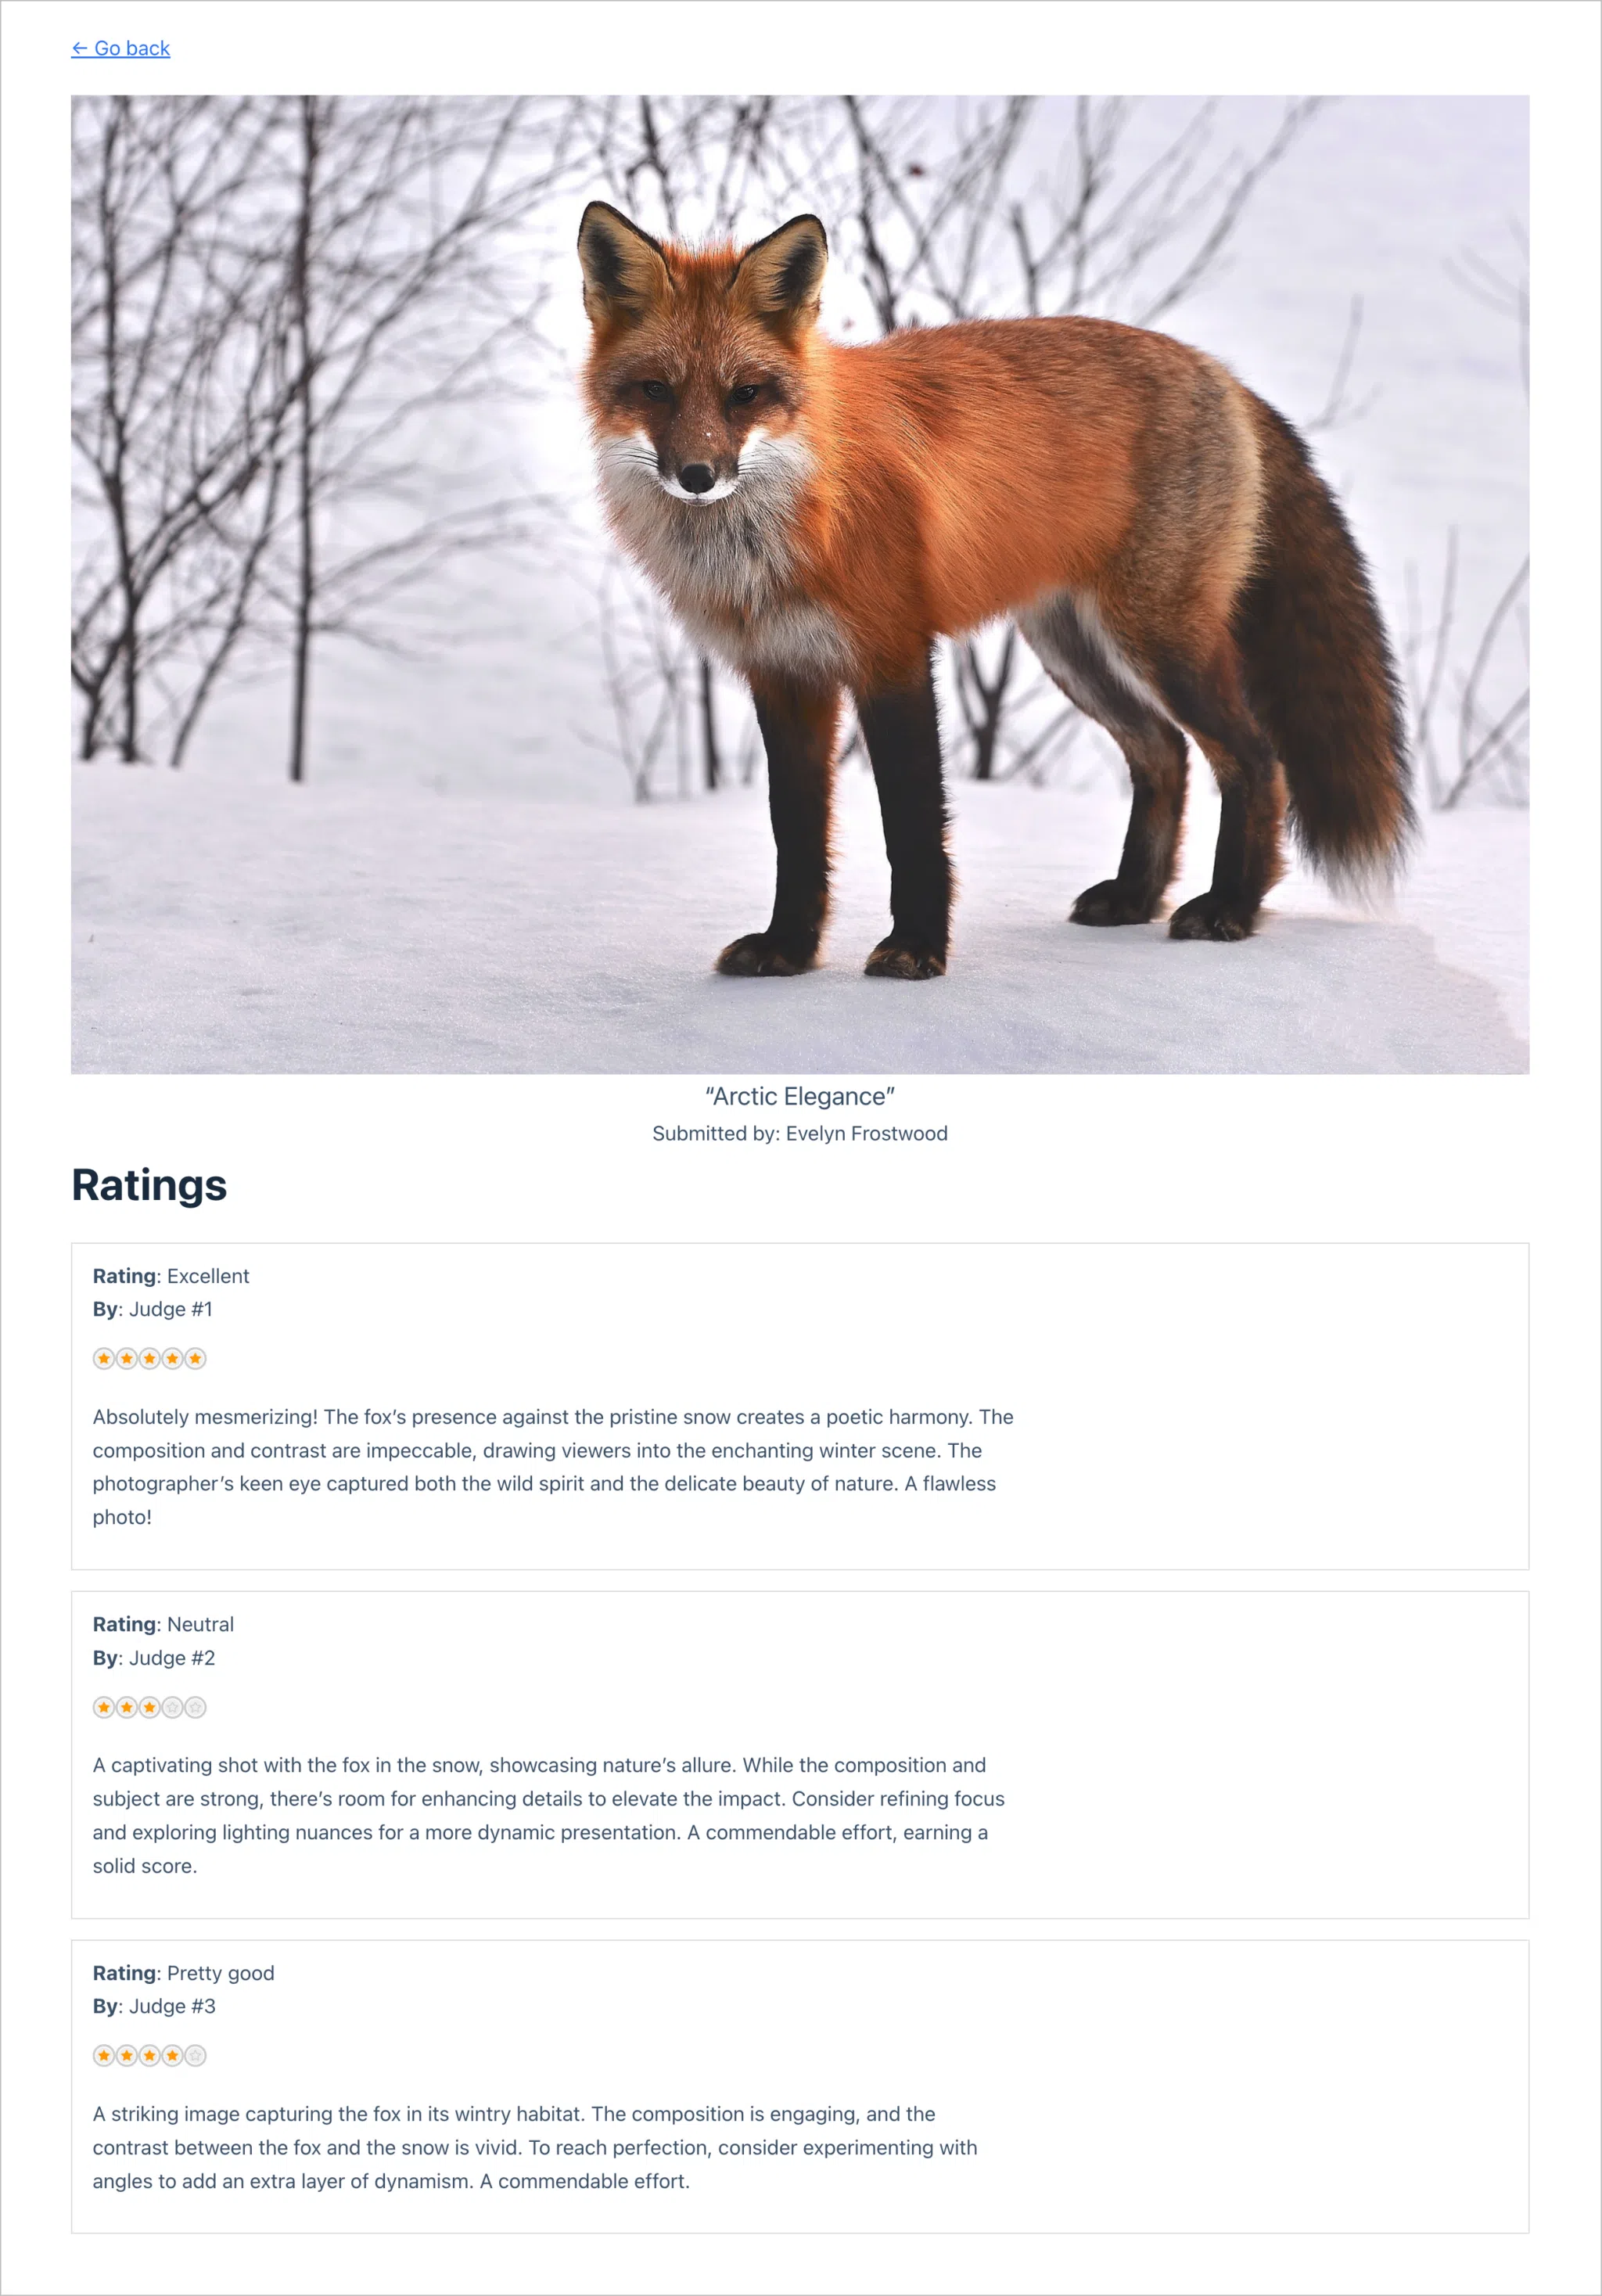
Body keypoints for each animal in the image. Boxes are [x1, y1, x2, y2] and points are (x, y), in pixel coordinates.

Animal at [578, 200, 1412, 980]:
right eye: (655, 390)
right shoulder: (784, 674)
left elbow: (912, 824)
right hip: (1073, 649)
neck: (786, 523)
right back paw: (1135, 897)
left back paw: (1232, 906)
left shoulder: (893, 655)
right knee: (1164, 754)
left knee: (1256, 759)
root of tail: (1220, 372)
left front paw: (916, 949)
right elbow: (797, 833)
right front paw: (788, 949)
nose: (698, 476)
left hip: (1159, 640)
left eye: (745, 394)